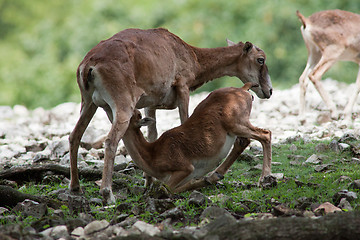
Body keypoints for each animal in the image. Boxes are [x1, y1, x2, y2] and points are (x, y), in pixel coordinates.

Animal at [122, 82, 272, 193]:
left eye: (133, 115)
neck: (152, 154)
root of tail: (244, 90)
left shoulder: (185, 168)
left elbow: (166, 188)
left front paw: (201, 181)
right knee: (243, 141)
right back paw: (216, 175)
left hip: (236, 124)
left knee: (265, 135)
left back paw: (263, 179)